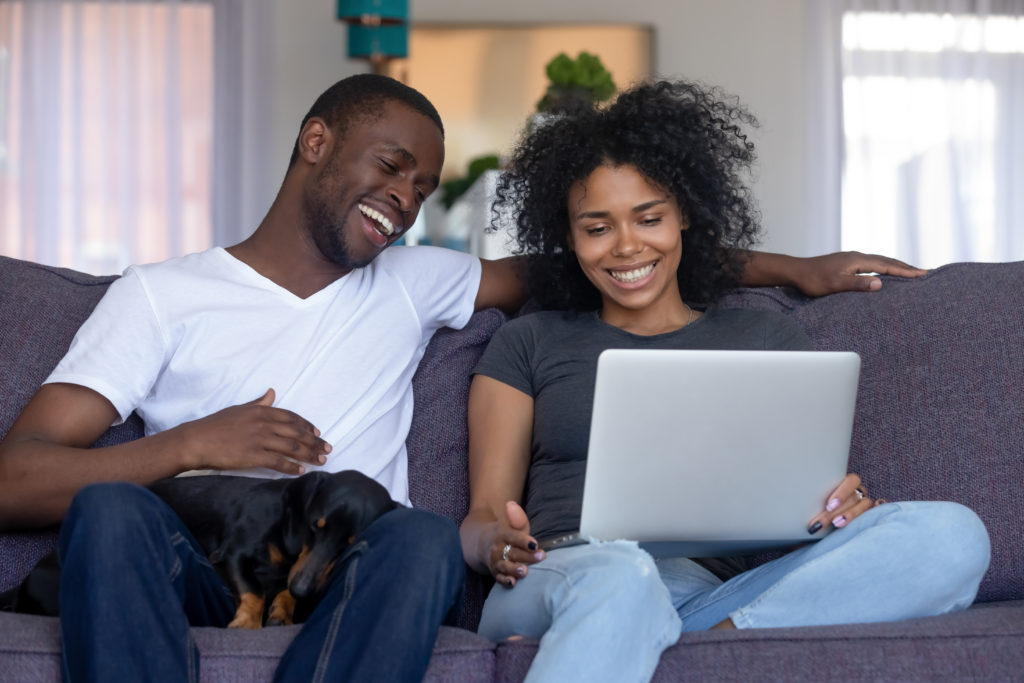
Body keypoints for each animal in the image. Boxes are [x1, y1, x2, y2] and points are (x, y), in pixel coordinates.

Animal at [0, 473, 395, 626]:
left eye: (348, 543)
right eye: (315, 525)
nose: (303, 591)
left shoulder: (297, 570)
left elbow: (282, 586)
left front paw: (284, 607)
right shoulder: (234, 553)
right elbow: (253, 591)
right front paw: (247, 621)